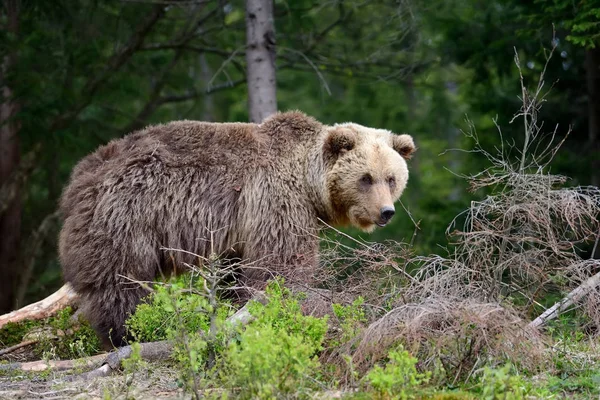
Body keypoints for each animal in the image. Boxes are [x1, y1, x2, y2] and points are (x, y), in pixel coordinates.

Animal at [58, 111, 414, 346]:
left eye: (391, 178)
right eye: (366, 177)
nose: (386, 212)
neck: (308, 182)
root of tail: (79, 178)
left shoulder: (238, 228)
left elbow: (237, 271)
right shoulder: (275, 200)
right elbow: (279, 267)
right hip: (128, 215)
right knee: (120, 282)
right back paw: (129, 332)